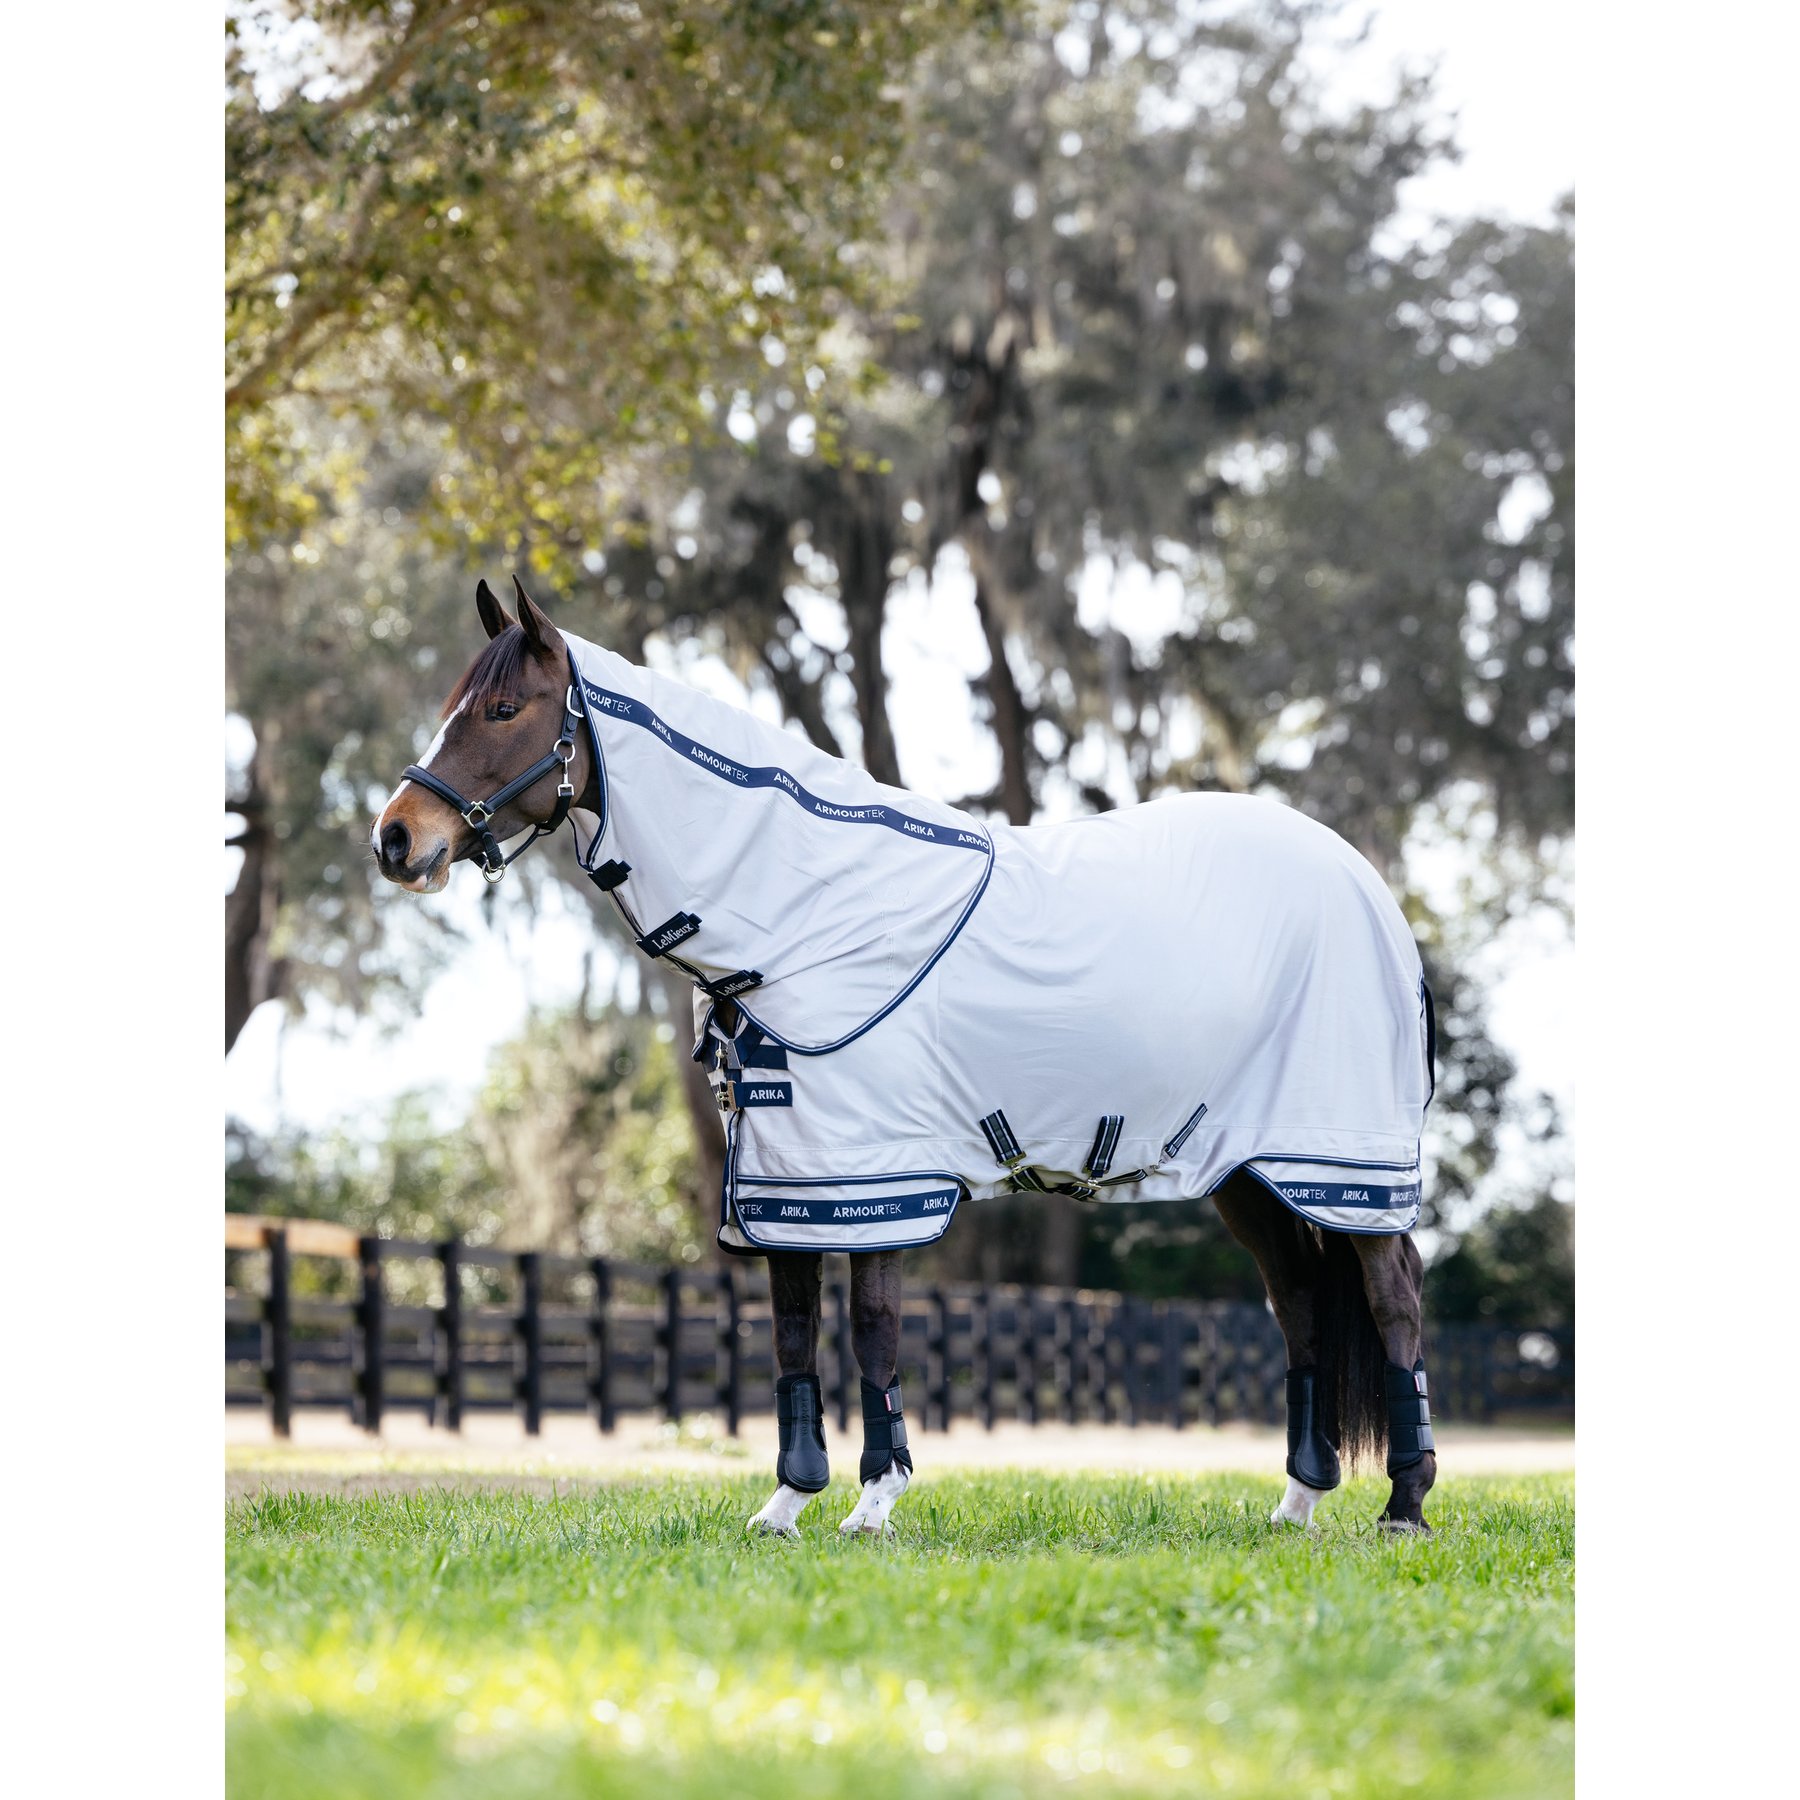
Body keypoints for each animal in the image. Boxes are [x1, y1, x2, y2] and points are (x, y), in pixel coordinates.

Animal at [373, 577, 1439, 1535]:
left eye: (504, 708)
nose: (395, 839)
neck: (812, 912)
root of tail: (1367, 887)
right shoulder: (786, 1183)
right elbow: (793, 1336)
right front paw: (787, 1503)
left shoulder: (878, 1177)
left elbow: (872, 1332)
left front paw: (874, 1503)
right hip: (1251, 1174)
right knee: (1299, 1304)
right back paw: (1297, 1503)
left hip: (1343, 1164)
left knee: (1393, 1300)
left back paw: (1406, 1504)